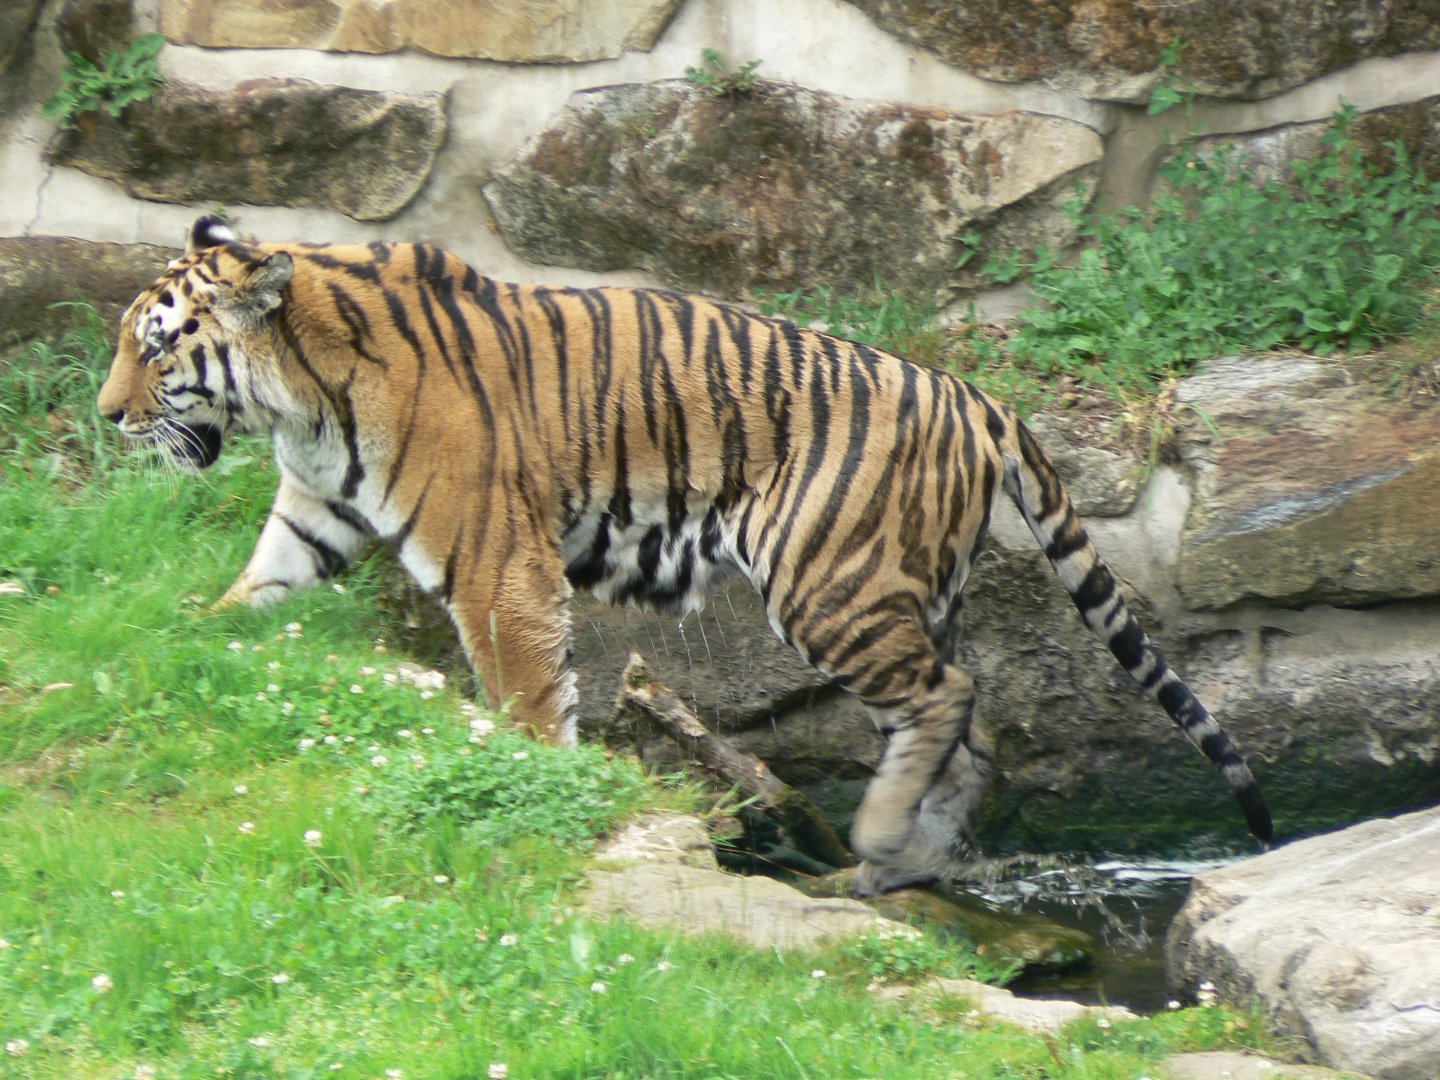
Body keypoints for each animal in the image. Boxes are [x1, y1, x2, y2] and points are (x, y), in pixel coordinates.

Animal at [97, 215, 1272, 895]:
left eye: (156, 346)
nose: (107, 416)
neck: (301, 399)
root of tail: (972, 394)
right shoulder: (315, 514)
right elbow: (252, 589)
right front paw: (165, 643)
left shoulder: (494, 562)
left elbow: (527, 694)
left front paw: (536, 795)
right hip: (905, 595)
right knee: (968, 725)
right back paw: (910, 861)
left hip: (828, 585)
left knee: (949, 697)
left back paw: (878, 838)